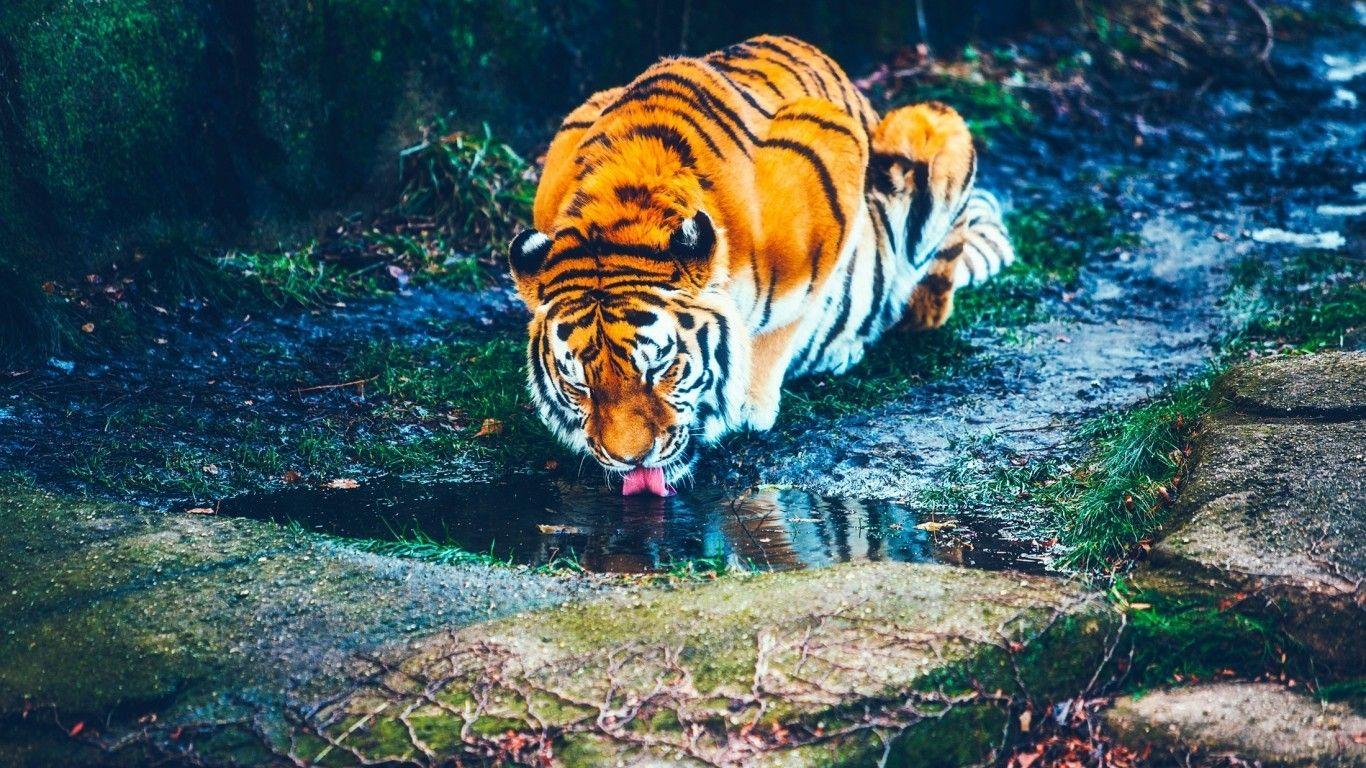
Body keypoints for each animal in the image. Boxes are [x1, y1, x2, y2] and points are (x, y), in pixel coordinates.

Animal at [508, 35, 1013, 494]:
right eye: (580, 385)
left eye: (660, 368)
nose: (631, 459)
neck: (623, 206)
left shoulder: (834, 153)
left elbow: (786, 321)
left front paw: (750, 404)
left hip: (928, 125)